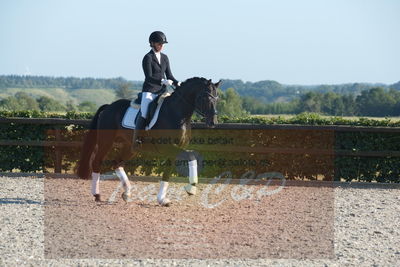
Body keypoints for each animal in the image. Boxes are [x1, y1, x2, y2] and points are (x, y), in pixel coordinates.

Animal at [76, 77, 220, 207]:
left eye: (217, 98)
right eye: (206, 98)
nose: (212, 122)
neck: (177, 113)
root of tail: (108, 107)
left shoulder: (174, 150)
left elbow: (168, 172)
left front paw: (162, 199)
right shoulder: (168, 147)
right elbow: (191, 156)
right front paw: (191, 189)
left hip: (130, 148)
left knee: (117, 163)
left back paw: (127, 194)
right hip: (106, 142)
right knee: (97, 162)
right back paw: (97, 194)